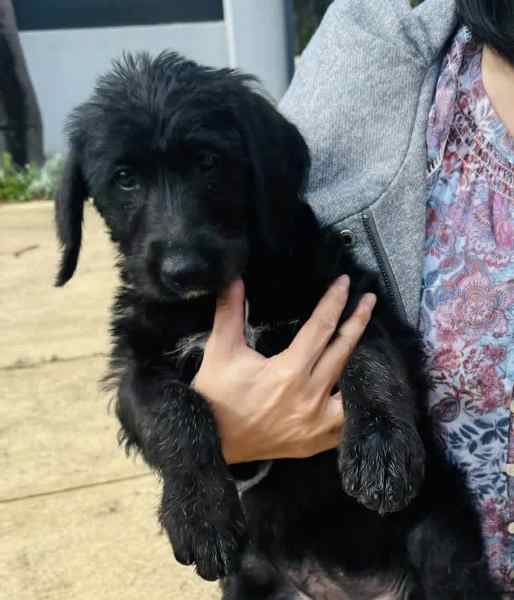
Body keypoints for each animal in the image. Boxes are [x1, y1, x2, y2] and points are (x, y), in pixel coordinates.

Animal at [55, 52, 496, 600]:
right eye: (125, 178)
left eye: (208, 161)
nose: (184, 271)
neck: (225, 296)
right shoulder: (137, 364)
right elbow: (173, 412)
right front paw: (199, 516)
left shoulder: (351, 297)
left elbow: (370, 359)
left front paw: (380, 450)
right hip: (253, 580)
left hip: (442, 542)